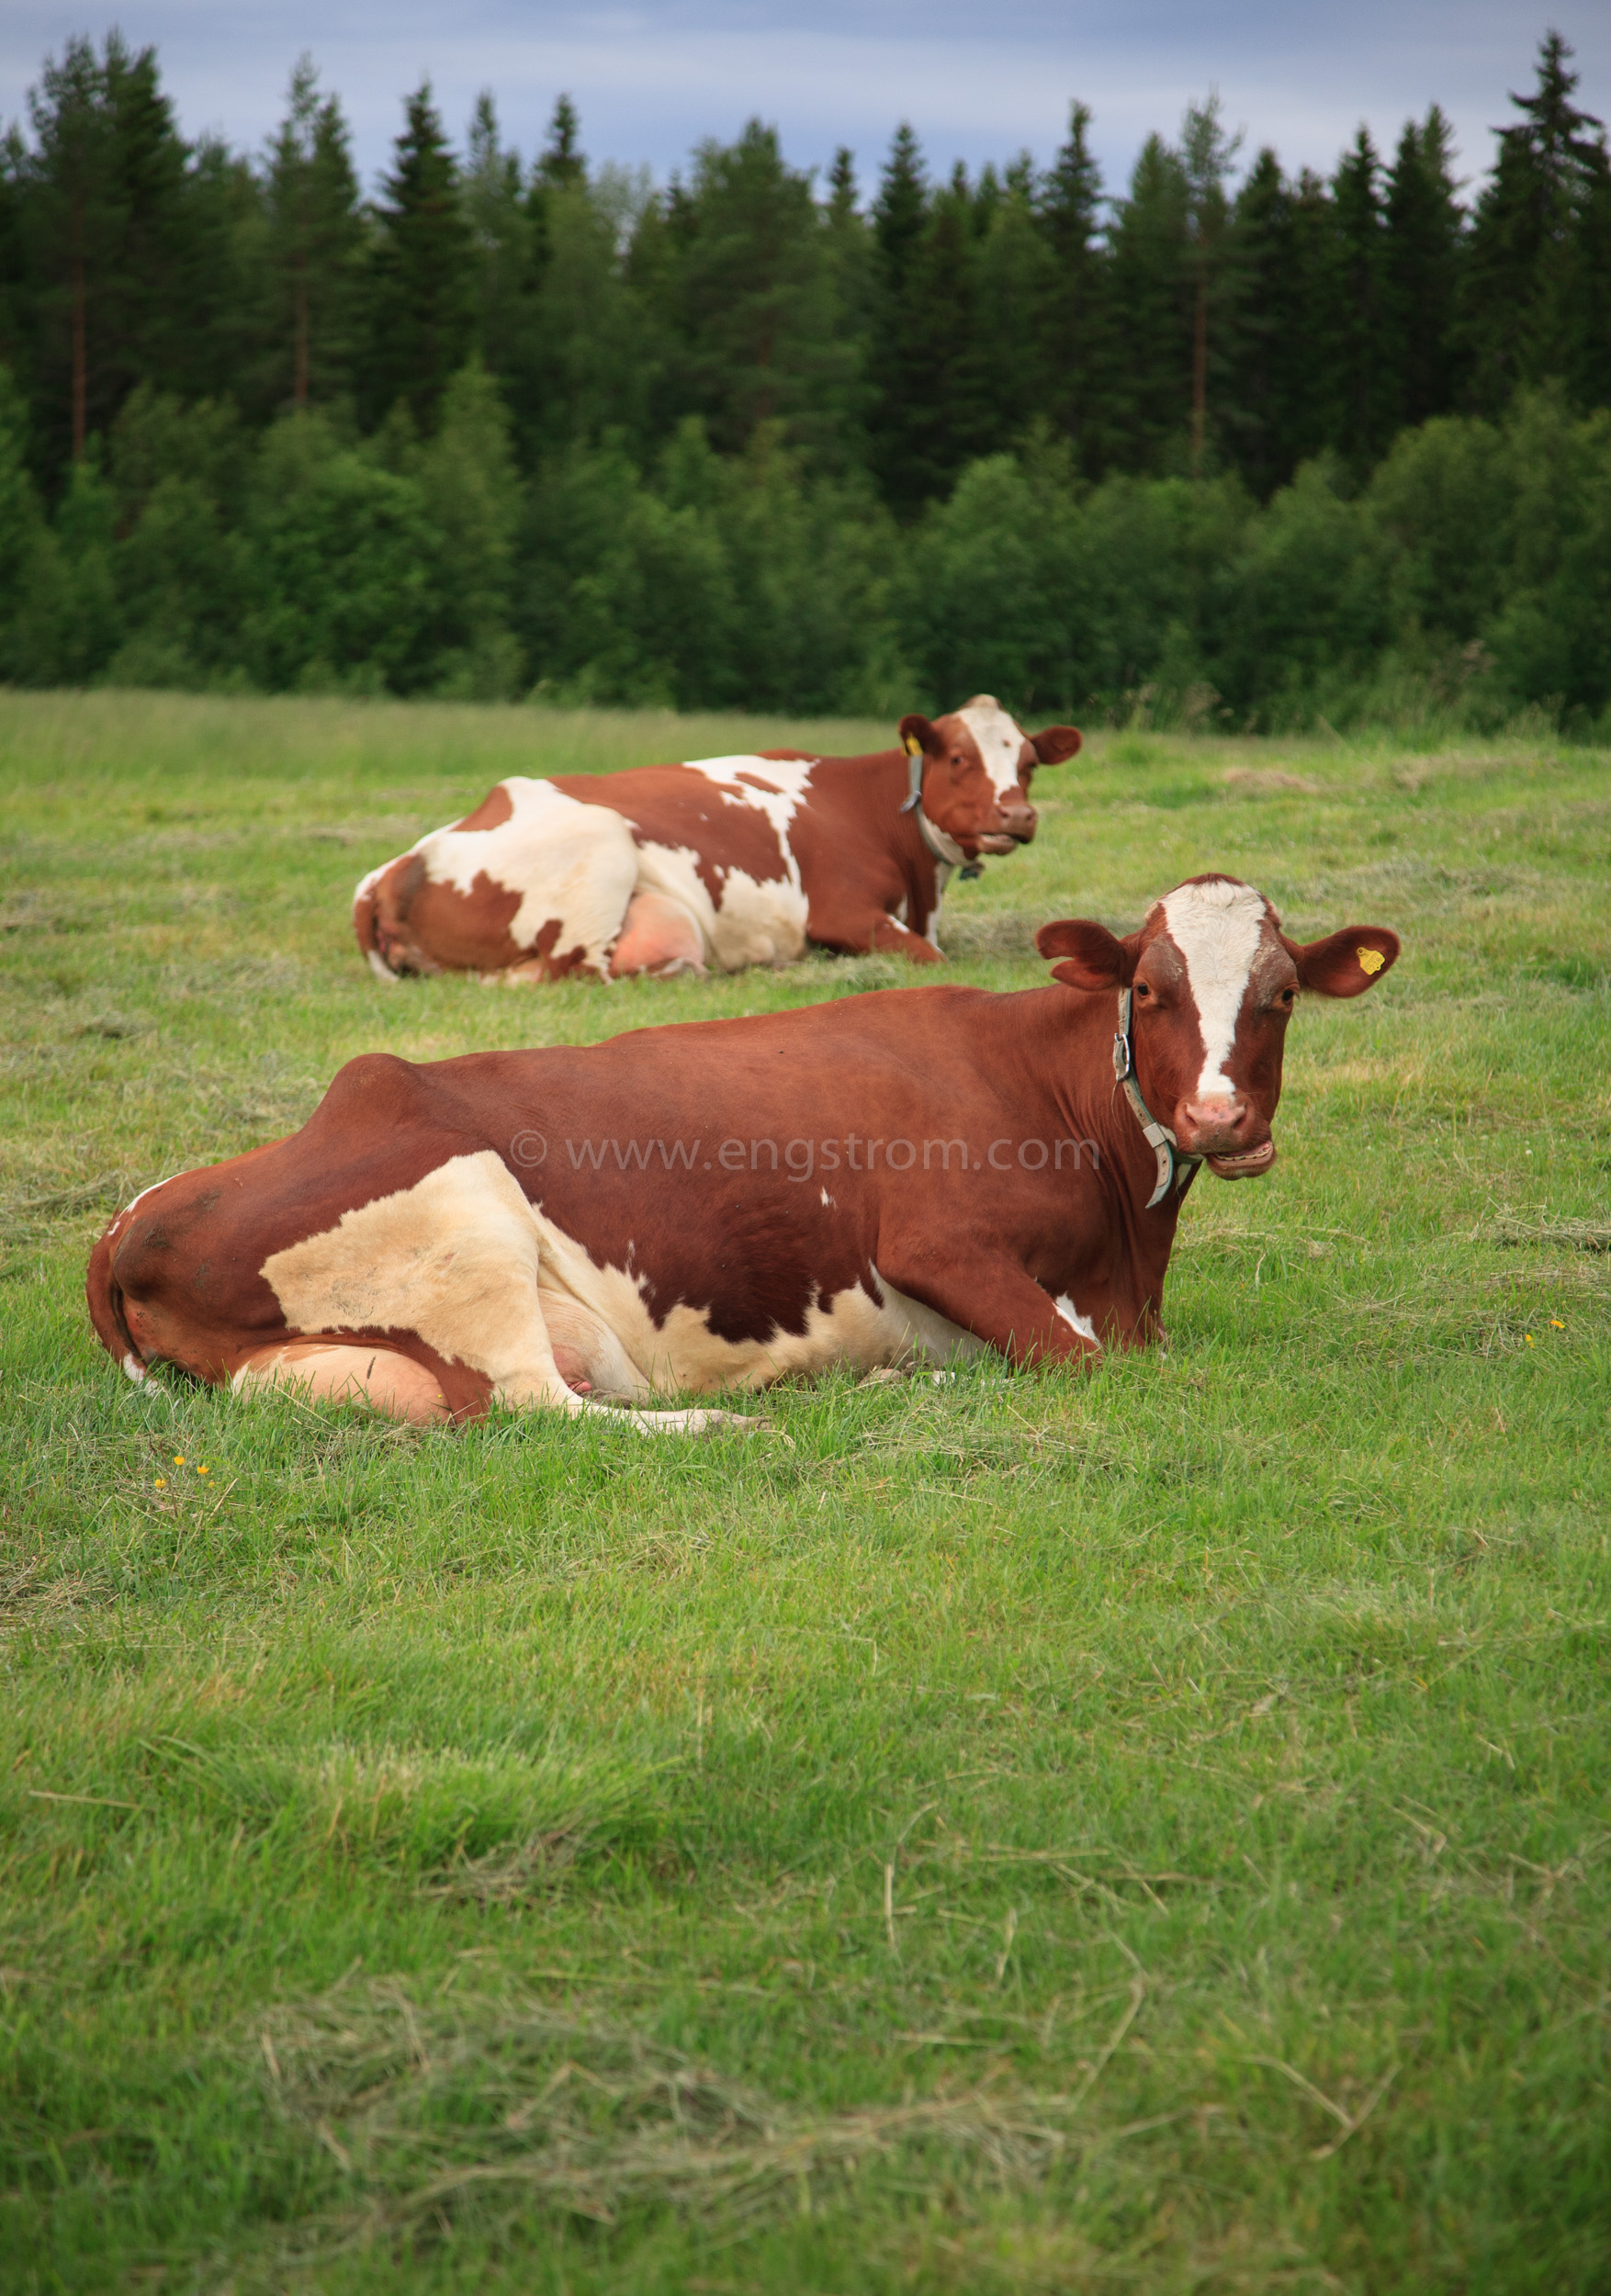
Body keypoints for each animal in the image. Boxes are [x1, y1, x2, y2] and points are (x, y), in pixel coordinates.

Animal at [88, 868, 1404, 1424]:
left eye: (1282, 994)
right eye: (1147, 986)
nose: (1220, 1122)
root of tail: (128, 1221)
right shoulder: (934, 1244)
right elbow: (1079, 1364)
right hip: (466, 1220)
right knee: (536, 1406)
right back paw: (731, 1420)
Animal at [353, 698, 1083, 987]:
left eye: (1029, 763)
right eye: (958, 758)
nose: (1018, 814)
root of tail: (393, 870)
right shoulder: (842, 910)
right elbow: (933, 960)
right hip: (602, 844)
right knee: (581, 972)